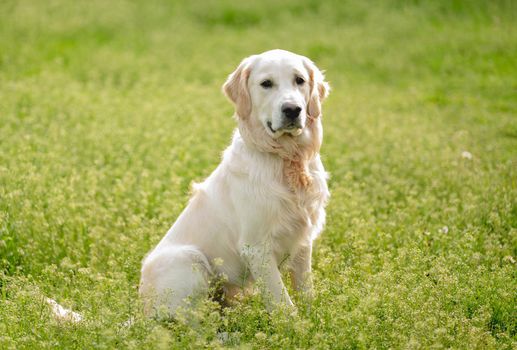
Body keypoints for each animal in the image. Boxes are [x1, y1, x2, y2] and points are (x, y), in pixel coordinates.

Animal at [139, 49, 328, 318]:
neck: (285, 157)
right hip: (188, 259)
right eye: (266, 83)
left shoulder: (303, 240)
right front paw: (296, 326)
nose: (293, 109)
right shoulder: (257, 247)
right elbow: (283, 302)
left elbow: (306, 290)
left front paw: (315, 320)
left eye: (299, 80)